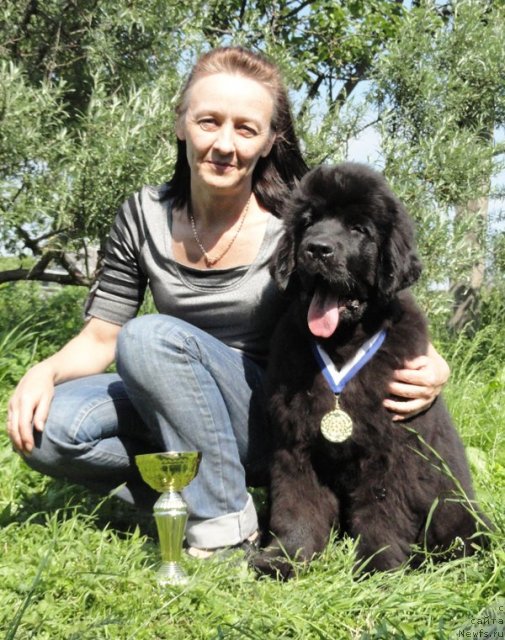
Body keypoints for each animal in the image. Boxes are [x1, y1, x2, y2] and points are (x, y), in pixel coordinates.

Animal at [254, 162, 490, 576]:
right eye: (308, 221)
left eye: (358, 229)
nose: (316, 248)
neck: (343, 348)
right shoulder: (294, 445)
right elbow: (296, 506)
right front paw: (285, 558)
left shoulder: (389, 452)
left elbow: (383, 512)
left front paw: (377, 568)